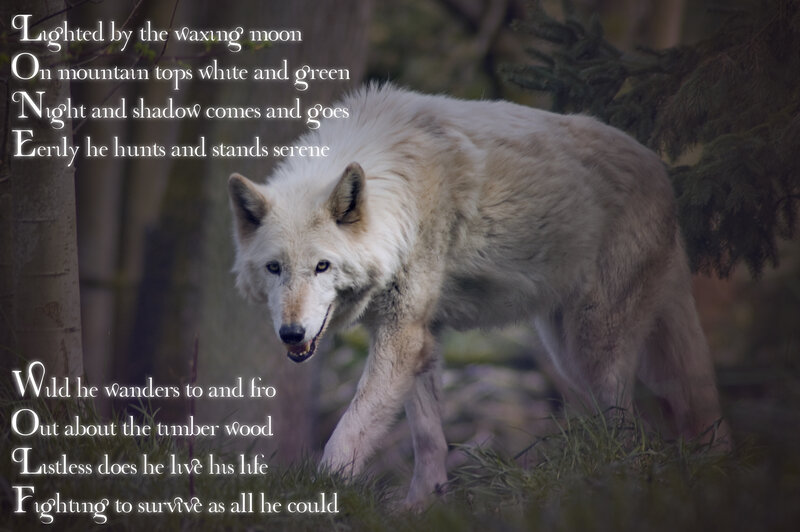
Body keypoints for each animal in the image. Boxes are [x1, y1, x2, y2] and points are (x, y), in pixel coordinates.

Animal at [227, 85, 728, 506]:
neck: (400, 192)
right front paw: (422, 507)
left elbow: (347, 433)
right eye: (274, 269)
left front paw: (322, 497)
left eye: (322, 267)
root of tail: (661, 171)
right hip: (571, 354)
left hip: (595, 351)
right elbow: (429, 441)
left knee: (632, 430)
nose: (292, 334)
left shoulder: (402, 336)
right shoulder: (420, 339)